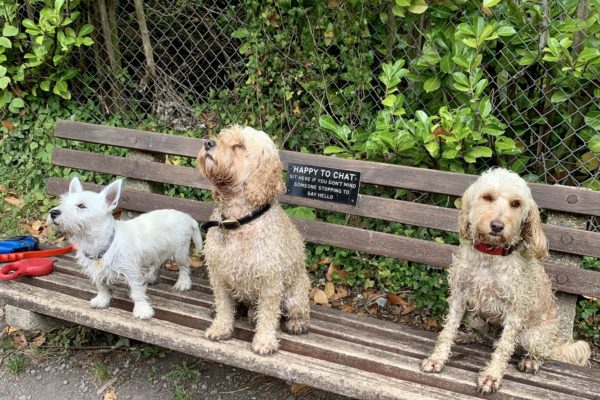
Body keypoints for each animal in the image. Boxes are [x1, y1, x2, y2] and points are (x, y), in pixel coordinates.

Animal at [48, 177, 203, 318]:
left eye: (81, 206)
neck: (99, 242)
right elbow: (101, 285)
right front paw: (102, 300)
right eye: (63, 203)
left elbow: (137, 291)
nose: (53, 213)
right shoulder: (96, 269)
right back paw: (151, 277)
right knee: (157, 263)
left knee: (184, 267)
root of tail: (187, 217)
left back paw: (183, 283)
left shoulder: (131, 271)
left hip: (180, 250)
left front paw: (142, 310)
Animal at [197, 126, 312, 356]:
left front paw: (264, 341)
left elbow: (268, 314)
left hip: (296, 294)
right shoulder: (218, 275)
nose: (208, 143)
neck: (238, 220)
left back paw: (297, 323)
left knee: (298, 311)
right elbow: (224, 306)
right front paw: (221, 327)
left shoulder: (271, 281)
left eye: (239, 145)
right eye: (222, 137)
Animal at [422, 168, 592, 394]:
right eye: (487, 197)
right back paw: (466, 336)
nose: (497, 225)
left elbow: (504, 346)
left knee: (542, 353)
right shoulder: (459, 295)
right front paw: (437, 358)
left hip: (532, 337)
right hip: (476, 318)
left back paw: (531, 361)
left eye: (516, 203)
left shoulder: (515, 309)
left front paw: (492, 376)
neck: (491, 254)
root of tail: (554, 341)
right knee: (484, 338)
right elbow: (448, 330)